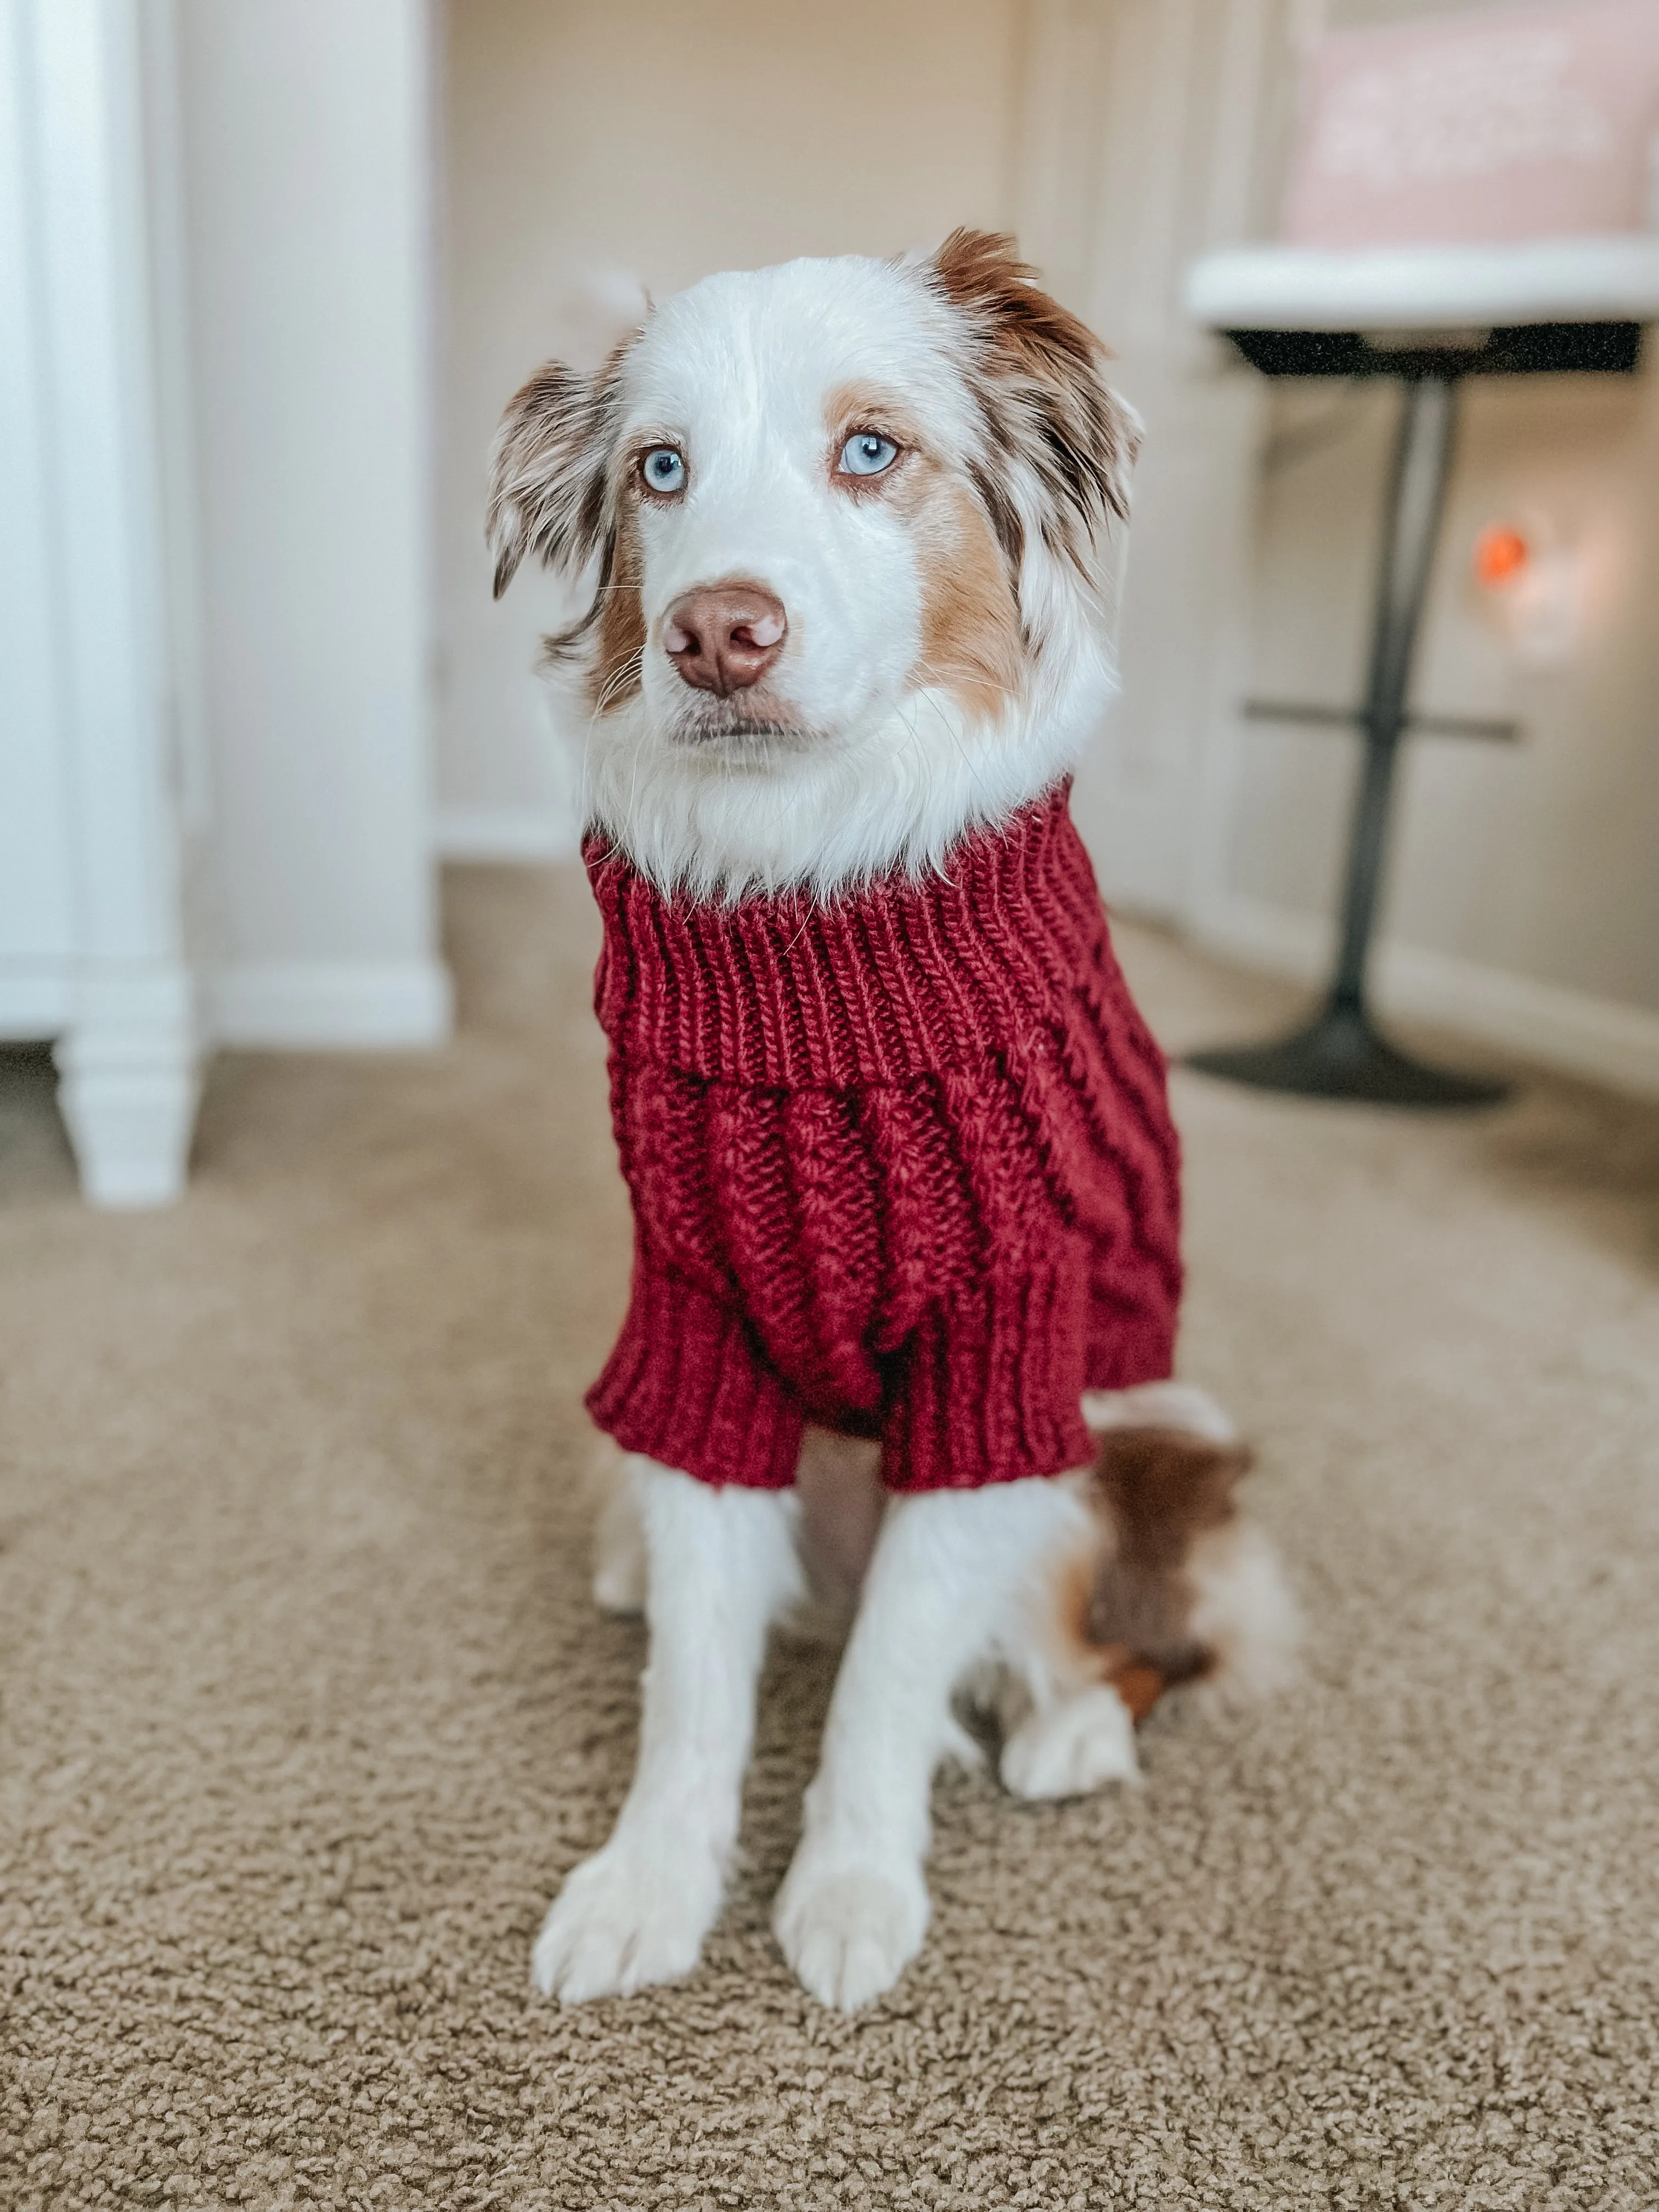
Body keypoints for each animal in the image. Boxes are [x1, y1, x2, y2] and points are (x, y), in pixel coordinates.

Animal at [487, 233, 1291, 2017]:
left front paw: (852, 1891)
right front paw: (650, 1889)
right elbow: (695, 1688)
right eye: (661, 471)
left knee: (1127, 1636)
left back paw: (1068, 1729)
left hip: (1135, 1425)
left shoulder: (1002, 1353)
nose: (717, 633)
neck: (815, 905)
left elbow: (886, 1682)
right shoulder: (696, 1328)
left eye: (871, 451)